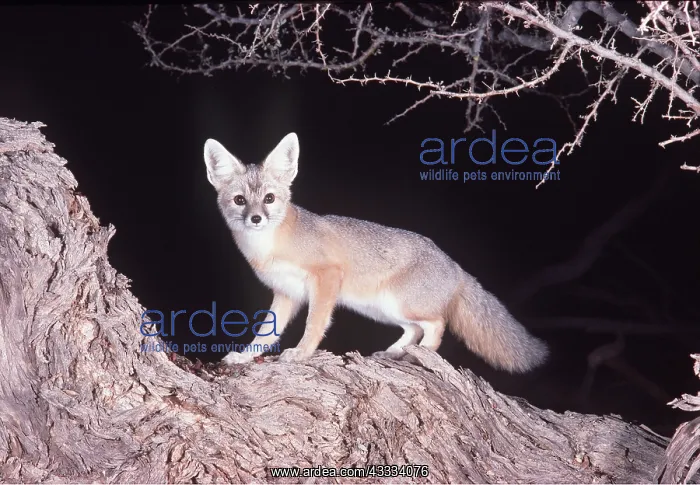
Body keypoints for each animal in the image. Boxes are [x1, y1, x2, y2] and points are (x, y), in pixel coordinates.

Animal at [203, 132, 548, 372]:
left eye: (270, 199)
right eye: (240, 201)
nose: (256, 219)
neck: (268, 247)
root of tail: (456, 267)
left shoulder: (326, 277)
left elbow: (314, 324)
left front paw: (302, 353)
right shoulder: (286, 294)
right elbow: (264, 334)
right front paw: (244, 357)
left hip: (399, 304)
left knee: (436, 326)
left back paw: (418, 357)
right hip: (381, 308)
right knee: (414, 330)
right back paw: (396, 352)